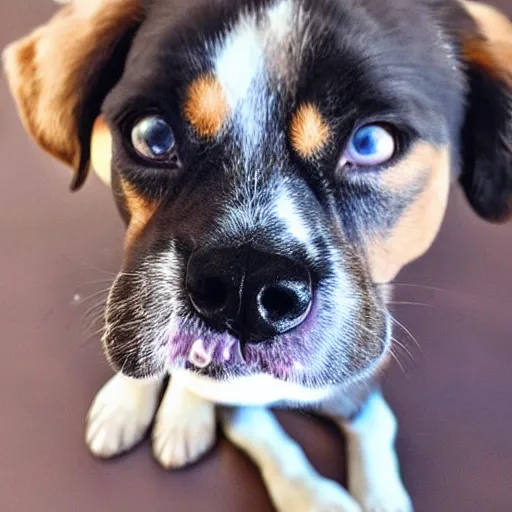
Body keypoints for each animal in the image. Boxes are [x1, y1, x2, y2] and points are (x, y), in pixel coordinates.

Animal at [4, 0, 512, 510]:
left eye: (371, 143)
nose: (243, 285)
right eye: (153, 135)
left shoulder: (358, 374)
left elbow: (372, 425)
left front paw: (379, 496)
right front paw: (317, 498)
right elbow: (266, 439)